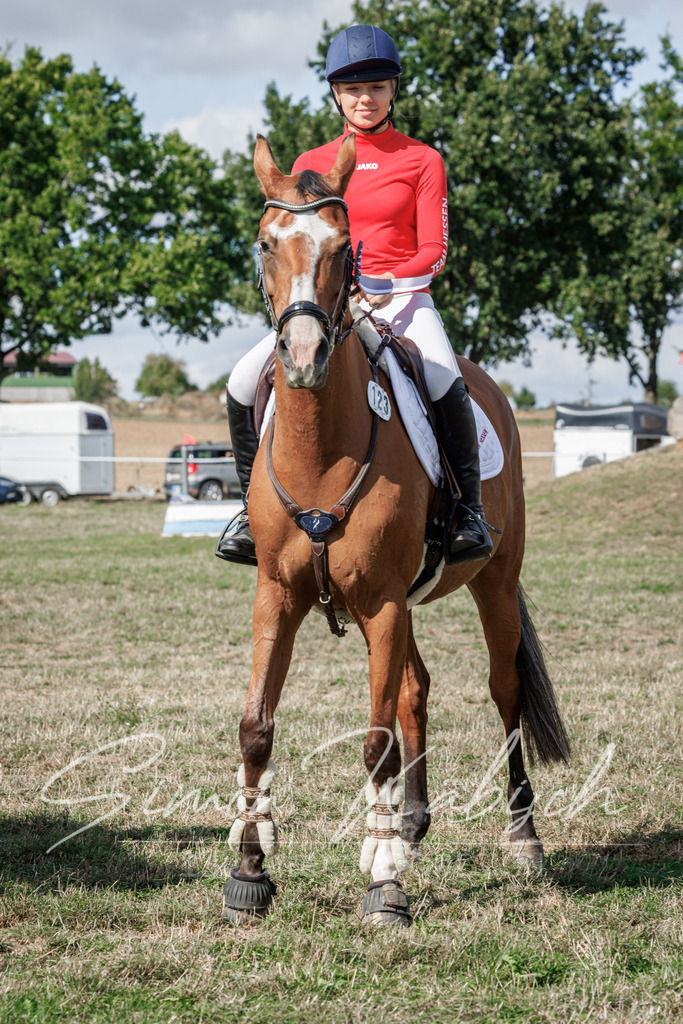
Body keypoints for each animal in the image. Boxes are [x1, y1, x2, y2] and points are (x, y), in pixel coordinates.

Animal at [222, 133, 570, 927]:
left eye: (342, 246)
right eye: (266, 243)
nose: (304, 358)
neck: (321, 447)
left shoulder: (380, 602)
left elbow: (375, 738)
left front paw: (383, 884)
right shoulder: (276, 594)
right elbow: (257, 724)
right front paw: (251, 868)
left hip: (492, 585)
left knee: (503, 692)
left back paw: (521, 838)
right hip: (397, 607)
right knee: (415, 689)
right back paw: (408, 827)